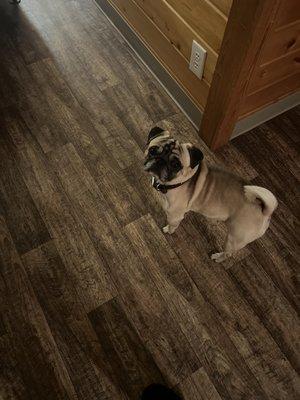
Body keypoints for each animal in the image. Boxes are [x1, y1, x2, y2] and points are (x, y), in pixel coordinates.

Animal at [144, 126, 278, 262]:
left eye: (176, 164)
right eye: (152, 150)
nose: (160, 160)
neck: (182, 181)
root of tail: (265, 210)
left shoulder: (175, 215)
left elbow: (172, 225)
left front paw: (168, 230)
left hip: (233, 239)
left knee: (228, 254)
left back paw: (218, 257)